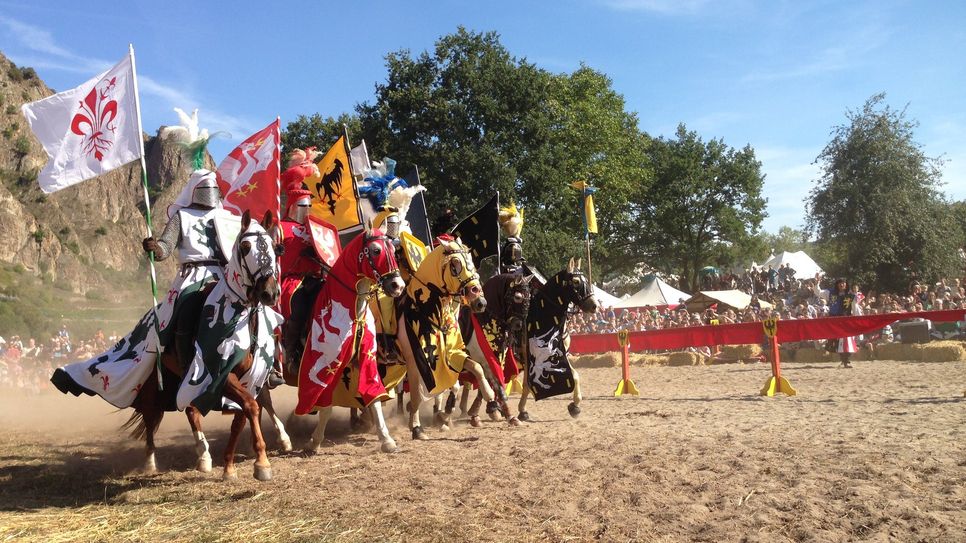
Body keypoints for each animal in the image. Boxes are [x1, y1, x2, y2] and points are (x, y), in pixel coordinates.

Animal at [126, 210, 282, 482]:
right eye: (245, 246)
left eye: (274, 246)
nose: (270, 293)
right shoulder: (220, 375)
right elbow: (251, 407)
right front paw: (262, 463)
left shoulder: (248, 378)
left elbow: (241, 417)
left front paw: (229, 466)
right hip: (155, 381)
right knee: (150, 414)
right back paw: (152, 461)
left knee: (189, 410)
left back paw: (204, 455)